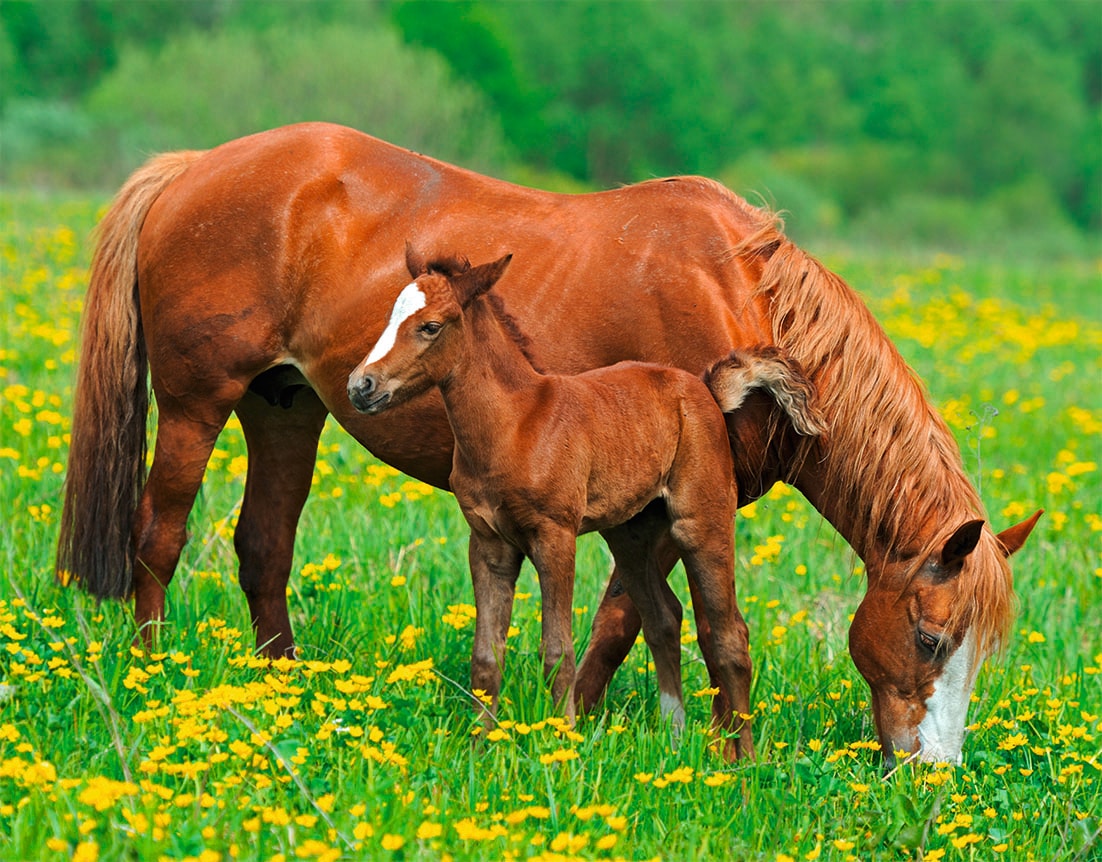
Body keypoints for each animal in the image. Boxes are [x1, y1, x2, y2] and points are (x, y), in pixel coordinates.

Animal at [348, 242, 824, 758]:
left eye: (430, 326)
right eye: (390, 315)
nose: (361, 386)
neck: (515, 424)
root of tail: (705, 391)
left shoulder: (554, 536)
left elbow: (557, 651)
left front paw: (563, 745)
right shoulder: (488, 543)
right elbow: (485, 655)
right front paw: (479, 748)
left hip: (701, 519)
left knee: (729, 632)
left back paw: (745, 759)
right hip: (631, 534)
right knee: (663, 618)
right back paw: (674, 737)